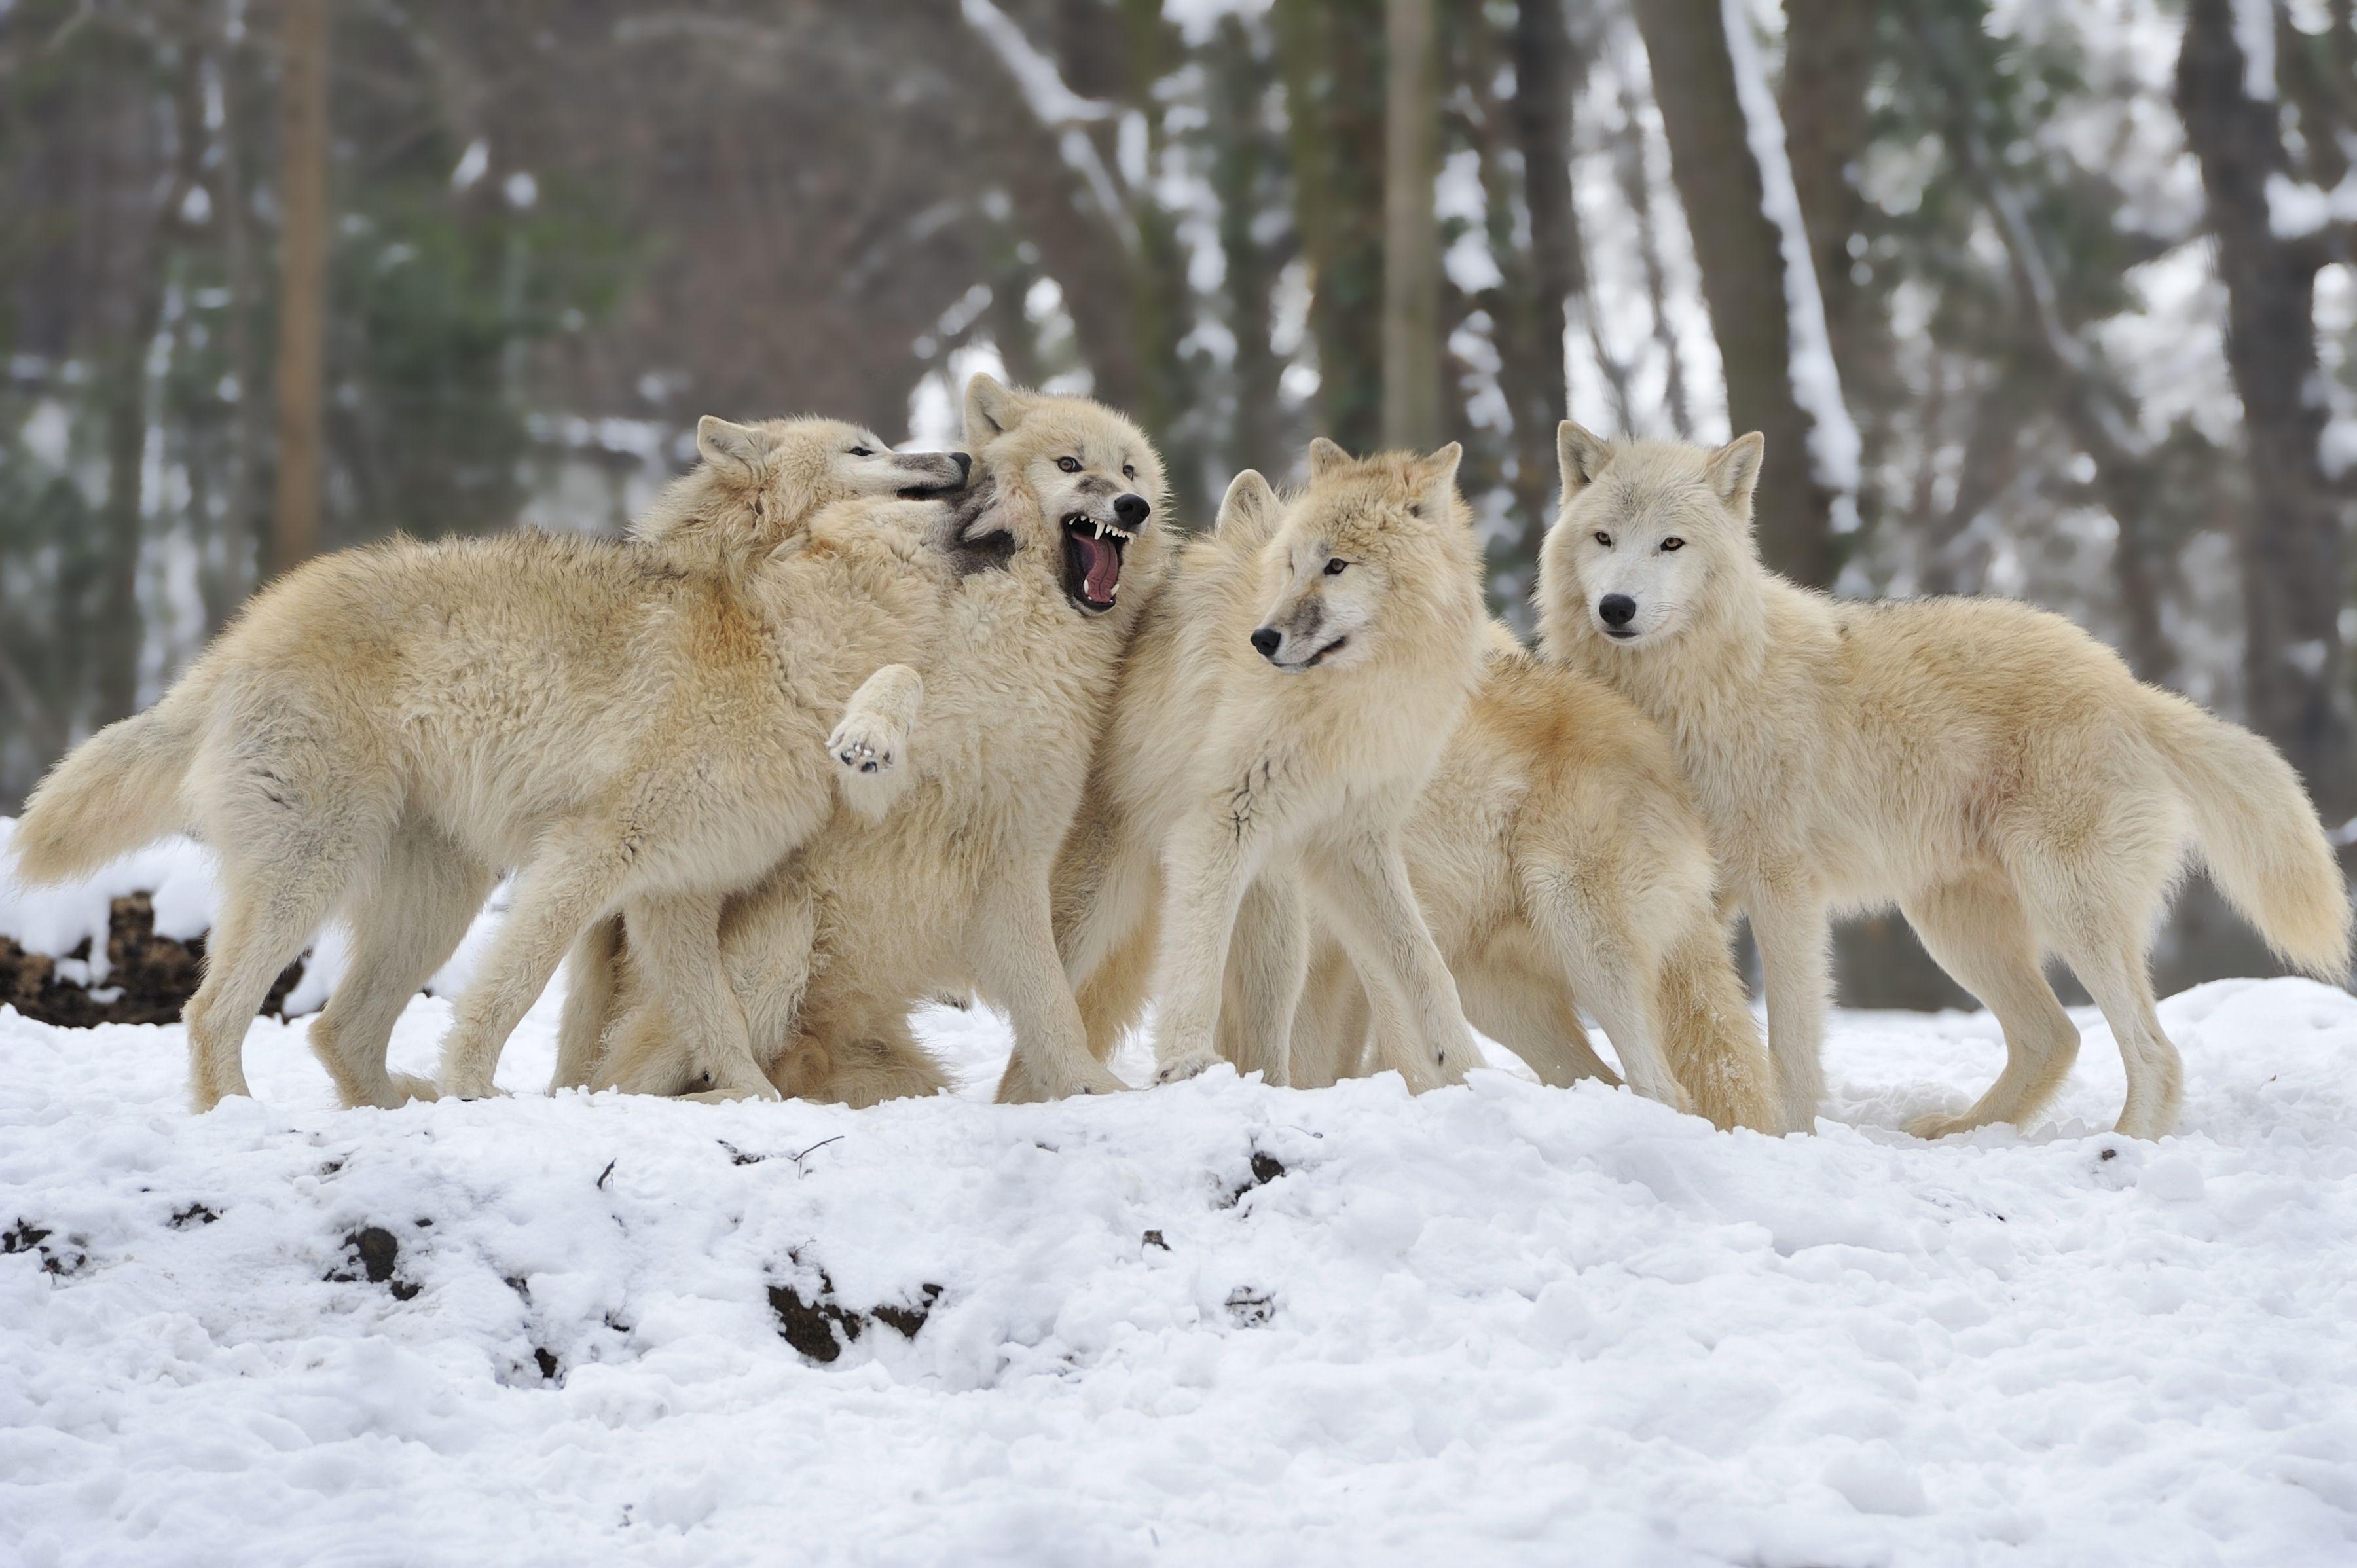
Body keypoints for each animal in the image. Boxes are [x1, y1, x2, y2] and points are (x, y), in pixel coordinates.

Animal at [7, 414, 966, 1099]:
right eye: (866, 449)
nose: (961, 456)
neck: (769, 641)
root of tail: (238, 637)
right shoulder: (588, 857)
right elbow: (514, 991)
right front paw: (475, 1086)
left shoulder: (674, 895)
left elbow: (719, 1025)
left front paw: (757, 1106)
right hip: (314, 870)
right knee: (213, 1012)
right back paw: (249, 1119)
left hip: (437, 897)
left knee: (338, 1030)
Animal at [554, 377, 1178, 1099]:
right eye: (1071, 465)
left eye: (1130, 471)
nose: (1132, 507)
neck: (1023, 632)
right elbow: (901, 678)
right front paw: (868, 734)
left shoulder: (1015, 855)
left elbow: (1053, 1009)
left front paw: (1089, 1090)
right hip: (780, 937)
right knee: (639, 1077)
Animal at [1027, 441, 1480, 1094]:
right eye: (1291, 565)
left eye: (1336, 566)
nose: (1262, 639)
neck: (1353, 699)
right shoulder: (1222, 823)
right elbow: (1196, 961)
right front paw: (1184, 1063)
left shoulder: (1354, 842)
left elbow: (1427, 964)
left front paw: (1469, 1068)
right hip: (1089, 908)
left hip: (1278, 920)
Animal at [1537, 422, 2347, 1131]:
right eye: (1604, 539)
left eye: (1671, 543)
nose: (1617, 607)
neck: (1691, 691)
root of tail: (2130, 687)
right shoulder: (1692, 895)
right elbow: (1699, 1031)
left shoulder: (1782, 889)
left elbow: (1790, 1043)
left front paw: (1788, 1135)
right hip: (1955, 927)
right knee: (2055, 1038)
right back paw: (1962, 1134)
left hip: (2065, 907)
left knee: (2154, 1051)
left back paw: (2124, 1147)